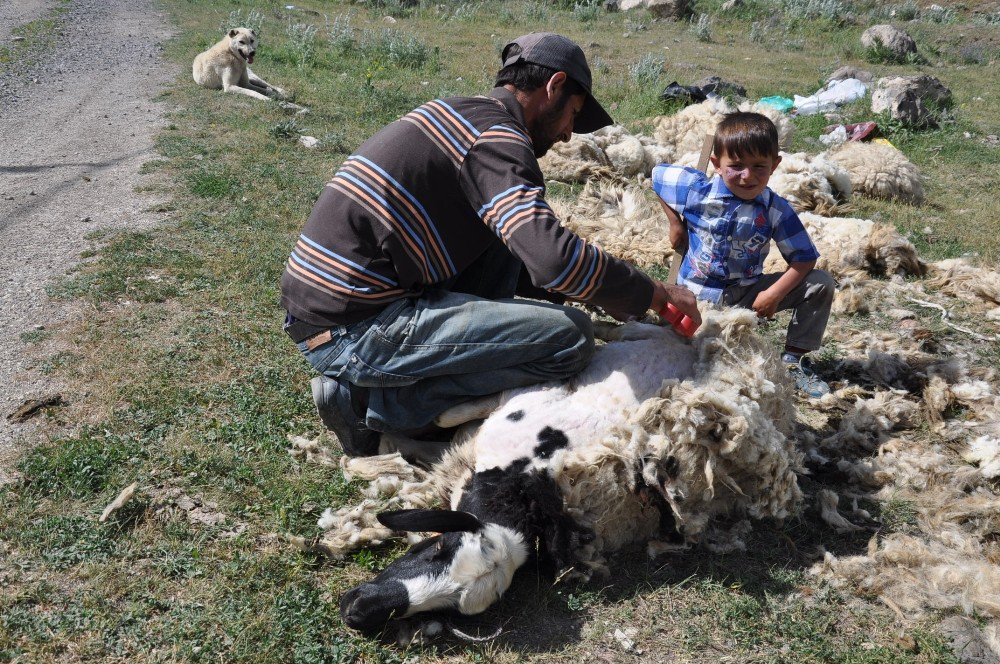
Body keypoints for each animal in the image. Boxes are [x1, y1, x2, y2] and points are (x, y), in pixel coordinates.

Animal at [316, 312, 800, 640]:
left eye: (453, 609)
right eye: (438, 547)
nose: (356, 611)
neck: (515, 483)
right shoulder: (516, 398)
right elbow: (452, 414)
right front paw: (391, 437)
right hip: (639, 334)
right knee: (619, 329)